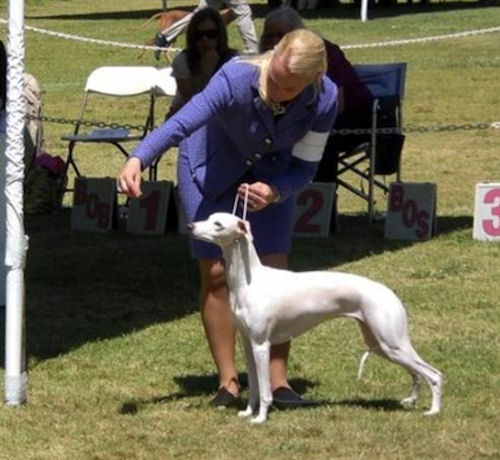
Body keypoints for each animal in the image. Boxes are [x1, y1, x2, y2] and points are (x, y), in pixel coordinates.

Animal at [188, 213, 442, 424]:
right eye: (208, 216)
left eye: (218, 224)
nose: (190, 226)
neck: (249, 281)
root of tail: (389, 293)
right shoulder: (248, 344)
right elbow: (254, 387)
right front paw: (248, 412)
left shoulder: (261, 345)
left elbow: (265, 390)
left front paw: (260, 418)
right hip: (382, 345)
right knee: (417, 374)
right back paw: (411, 401)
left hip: (392, 343)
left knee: (434, 375)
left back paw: (434, 411)